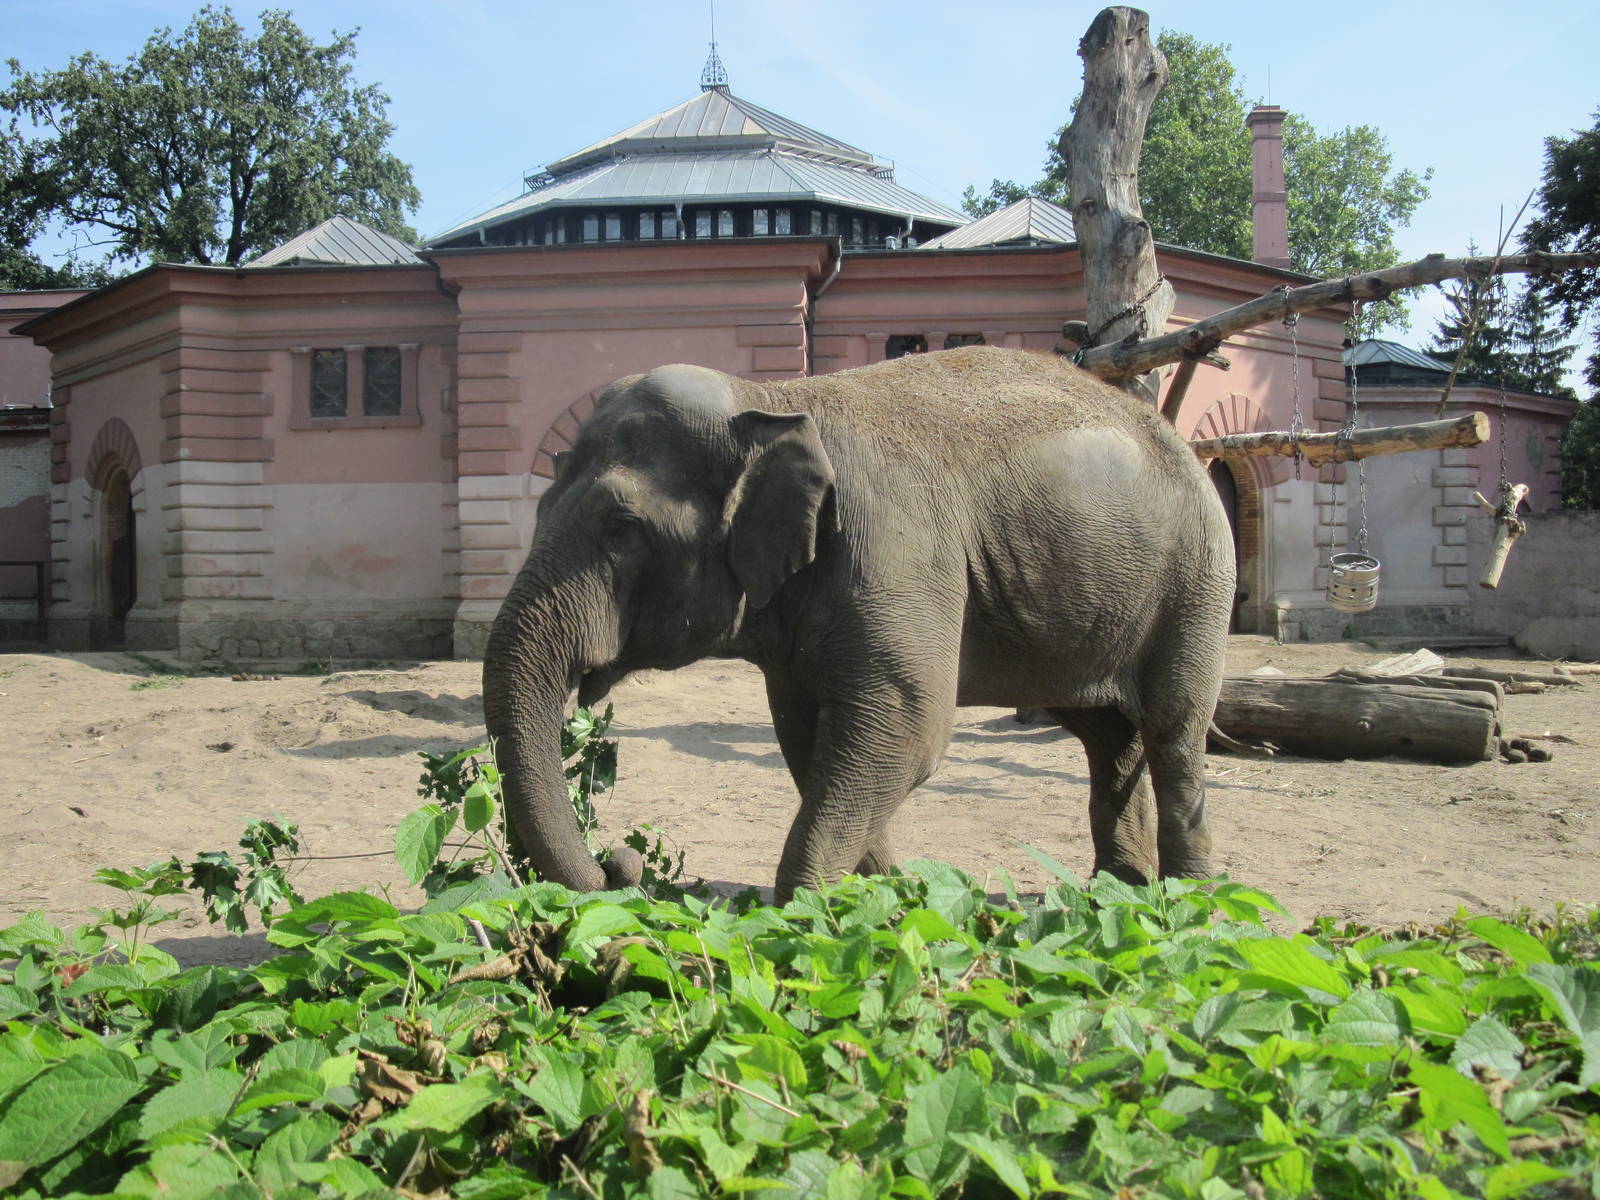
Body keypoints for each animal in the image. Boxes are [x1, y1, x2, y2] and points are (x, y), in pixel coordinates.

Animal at [482, 345, 1235, 901]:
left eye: (622, 529)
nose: (618, 863)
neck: (779, 401)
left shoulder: (898, 552)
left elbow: (907, 728)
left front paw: (805, 917)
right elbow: (809, 738)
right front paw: (893, 898)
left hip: (1198, 585)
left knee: (1173, 730)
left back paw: (1191, 907)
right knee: (1107, 739)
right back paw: (1118, 895)